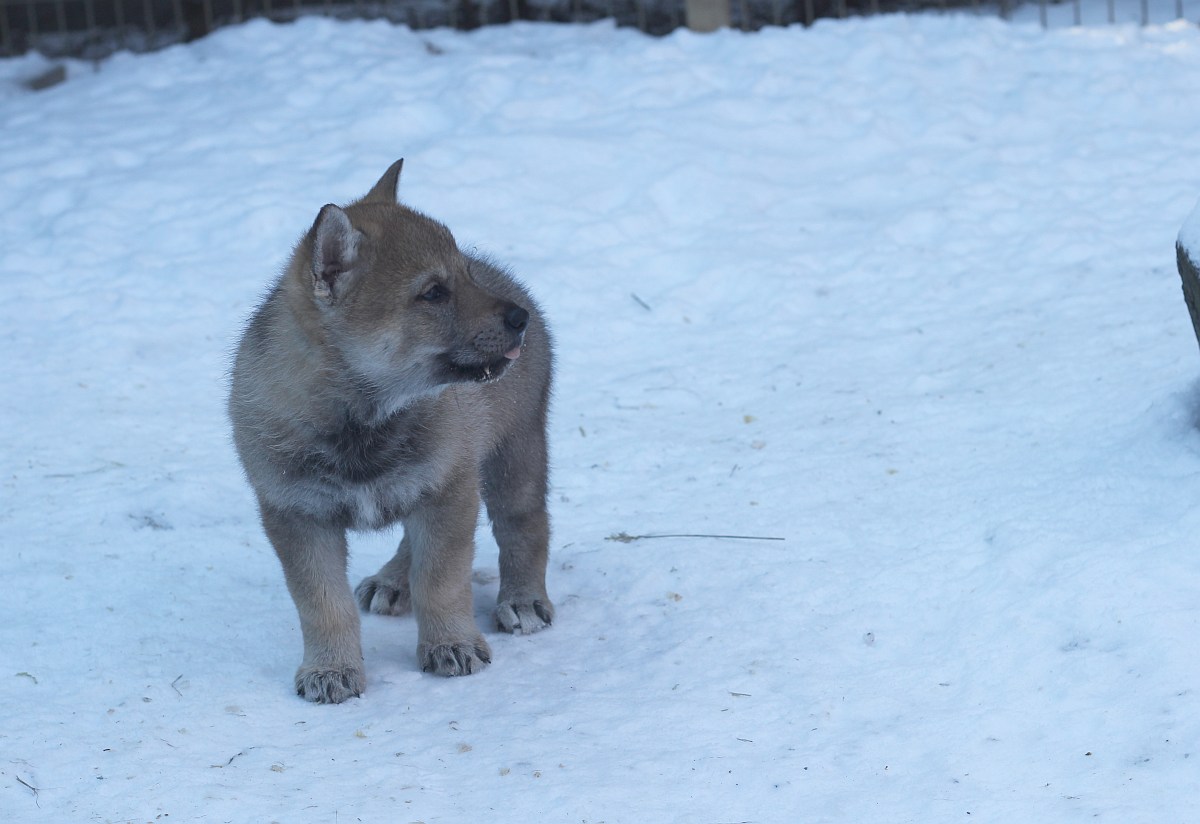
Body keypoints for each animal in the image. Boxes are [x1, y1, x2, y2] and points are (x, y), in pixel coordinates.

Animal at [229, 160, 552, 700]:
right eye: (433, 292)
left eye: (463, 274)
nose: (519, 318)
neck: (362, 416)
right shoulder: (297, 515)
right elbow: (323, 604)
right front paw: (330, 668)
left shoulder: (449, 488)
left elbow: (441, 580)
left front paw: (450, 643)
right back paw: (394, 580)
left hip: (515, 453)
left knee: (524, 524)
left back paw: (524, 598)